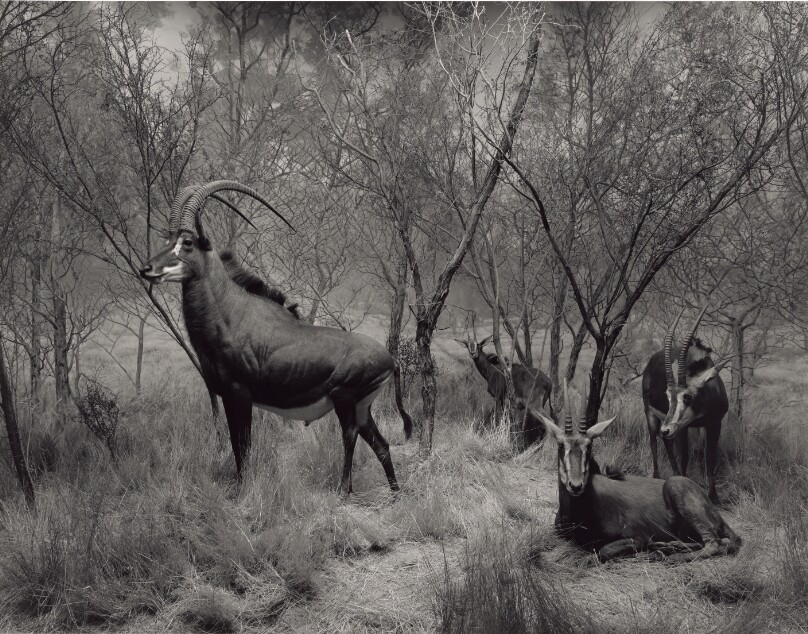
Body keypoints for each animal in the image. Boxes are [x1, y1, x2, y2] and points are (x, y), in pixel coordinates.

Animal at [139, 181, 412, 493]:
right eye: (167, 238)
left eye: (187, 242)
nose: (147, 269)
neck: (230, 312)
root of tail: (391, 360)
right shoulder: (228, 396)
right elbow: (236, 444)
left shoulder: (240, 394)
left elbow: (243, 444)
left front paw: (243, 491)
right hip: (362, 407)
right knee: (382, 445)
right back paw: (394, 493)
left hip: (345, 399)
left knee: (350, 436)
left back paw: (345, 490)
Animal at [530, 382, 740, 562]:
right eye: (561, 445)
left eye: (589, 446)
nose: (575, 486)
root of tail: (718, 516)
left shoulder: (638, 537)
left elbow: (603, 551)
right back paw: (666, 548)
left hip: (677, 488)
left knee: (715, 543)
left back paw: (669, 555)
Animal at [642, 308, 728, 503]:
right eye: (668, 396)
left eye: (687, 396)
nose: (665, 429)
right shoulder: (683, 427)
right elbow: (685, 457)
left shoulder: (714, 424)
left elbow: (709, 458)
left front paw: (714, 497)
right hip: (652, 415)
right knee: (653, 441)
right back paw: (657, 477)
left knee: (666, 443)